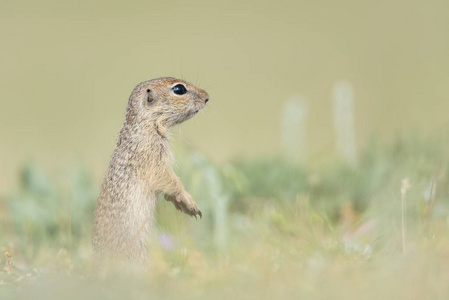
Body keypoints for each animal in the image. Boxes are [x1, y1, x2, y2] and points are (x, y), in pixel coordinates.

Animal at [93, 77, 209, 262]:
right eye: (179, 89)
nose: (207, 97)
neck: (144, 125)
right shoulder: (152, 156)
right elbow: (167, 179)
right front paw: (189, 201)